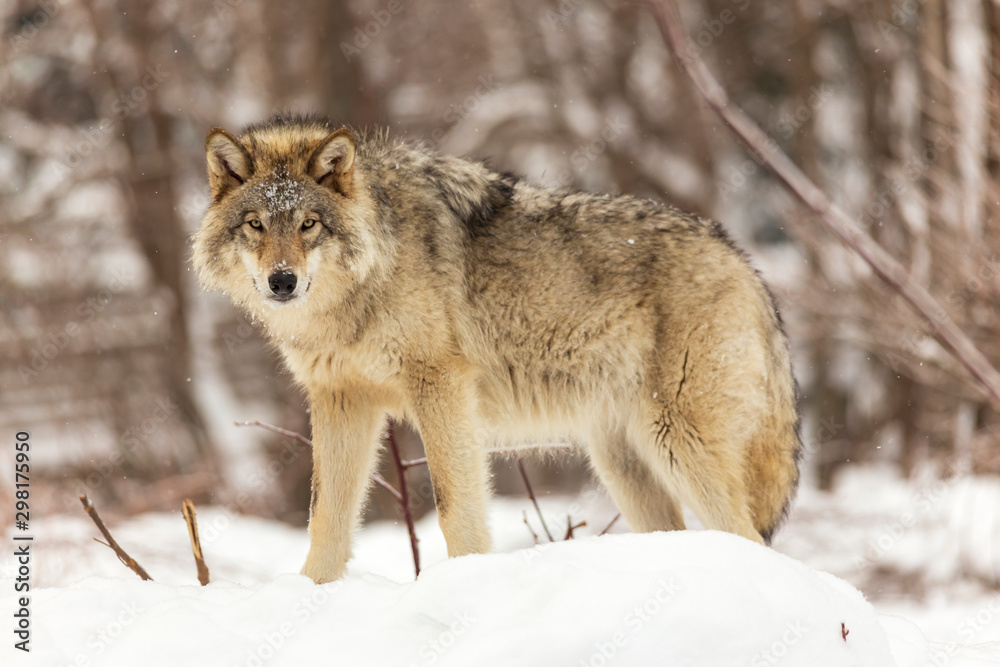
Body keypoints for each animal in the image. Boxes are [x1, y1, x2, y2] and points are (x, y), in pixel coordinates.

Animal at [193, 112, 804, 580]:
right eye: (255, 224)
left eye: (308, 224)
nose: (282, 282)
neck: (360, 288)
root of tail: (743, 261)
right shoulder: (340, 398)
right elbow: (326, 518)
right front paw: (311, 593)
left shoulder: (440, 385)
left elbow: (454, 507)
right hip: (625, 463)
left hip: (678, 444)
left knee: (748, 536)